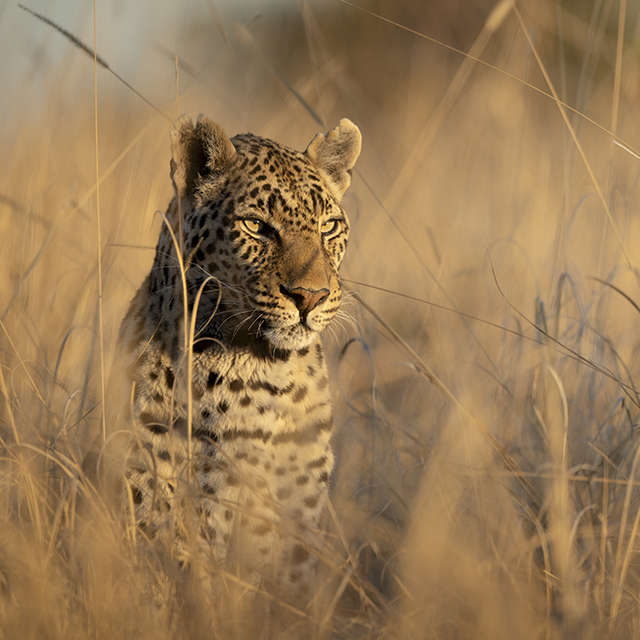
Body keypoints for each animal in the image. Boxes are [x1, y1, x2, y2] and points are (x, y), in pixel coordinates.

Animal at [114, 114, 361, 604]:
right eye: (255, 226)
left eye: (328, 226)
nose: (311, 296)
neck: (271, 372)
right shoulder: (197, 498)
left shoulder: (300, 518)